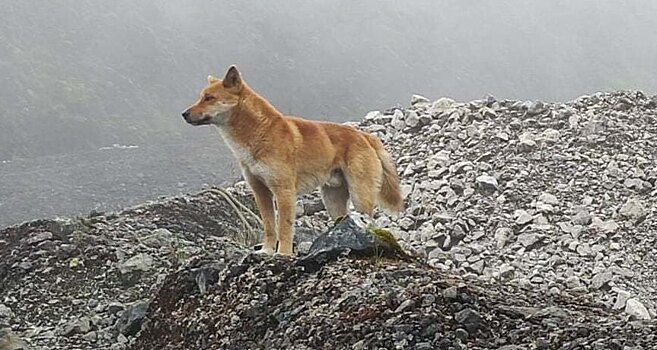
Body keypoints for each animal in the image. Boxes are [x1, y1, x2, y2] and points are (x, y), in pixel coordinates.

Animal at [182, 65, 402, 256]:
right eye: (200, 97)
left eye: (209, 98)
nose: (184, 114)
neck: (260, 134)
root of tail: (365, 136)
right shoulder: (260, 192)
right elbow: (270, 227)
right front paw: (266, 251)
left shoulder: (284, 191)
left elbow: (284, 228)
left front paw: (283, 254)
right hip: (332, 200)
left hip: (360, 195)